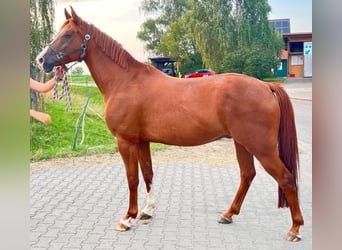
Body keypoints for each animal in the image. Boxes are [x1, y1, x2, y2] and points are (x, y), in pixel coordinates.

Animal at [36, 6, 304, 241]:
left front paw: (128, 218)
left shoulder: (125, 141)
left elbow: (132, 178)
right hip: (242, 143)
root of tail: (265, 86)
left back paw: (294, 229)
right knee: (247, 175)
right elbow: (147, 174)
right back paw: (228, 215)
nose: (41, 60)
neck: (125, 81)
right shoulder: (142, 141)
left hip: (261, 147)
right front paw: (147, 211)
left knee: (286, 178)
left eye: (67, 34)